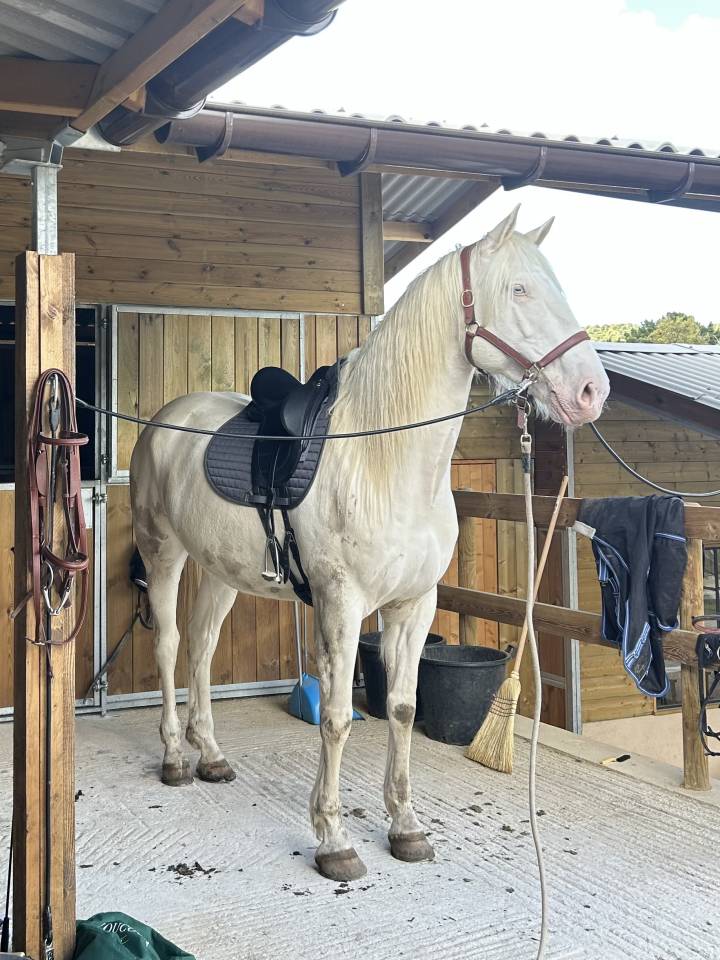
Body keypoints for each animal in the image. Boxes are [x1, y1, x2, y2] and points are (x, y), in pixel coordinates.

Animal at [129, 205, 610, 882]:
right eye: (520, 289)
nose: (592, 391)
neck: (384, 460)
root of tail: (166, 420)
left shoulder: (415, 605)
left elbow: (404, 708)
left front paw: (405, 827)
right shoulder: (342, 604)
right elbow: (334, 718)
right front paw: (333, 838)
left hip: (222, 571)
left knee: (200, 647)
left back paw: (212, 755)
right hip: (164, 552)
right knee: (171, 646)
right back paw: (175, 757)